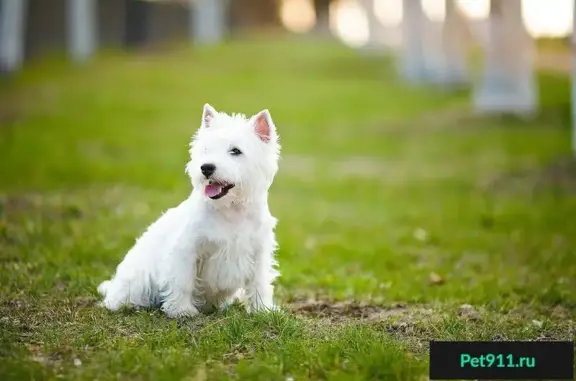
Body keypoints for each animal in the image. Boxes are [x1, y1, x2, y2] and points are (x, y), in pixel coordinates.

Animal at [98, 104, 282, 318]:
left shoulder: (258, 252)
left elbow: (259, 283)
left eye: (236, 151)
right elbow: (183, 281)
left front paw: (262, 310)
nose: (206, 167)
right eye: (206, 149)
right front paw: (182, 311)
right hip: (137, 280)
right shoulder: (186, 250)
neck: (231, 210)